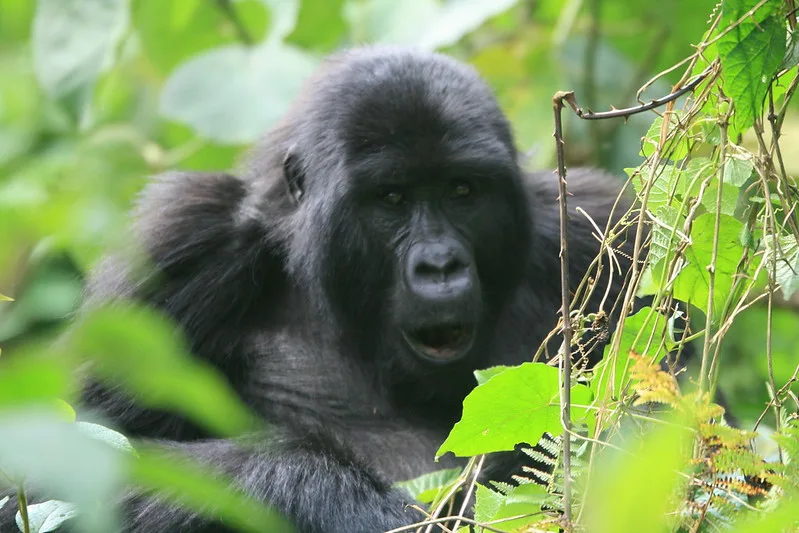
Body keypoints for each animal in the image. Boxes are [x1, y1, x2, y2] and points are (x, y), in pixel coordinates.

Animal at [3, 46, 636, 532]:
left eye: (463, 191)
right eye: (391, 198)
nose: (440, 266)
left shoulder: (600, 228)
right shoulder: (178, 249)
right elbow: (52, 469)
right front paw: (339, 497)